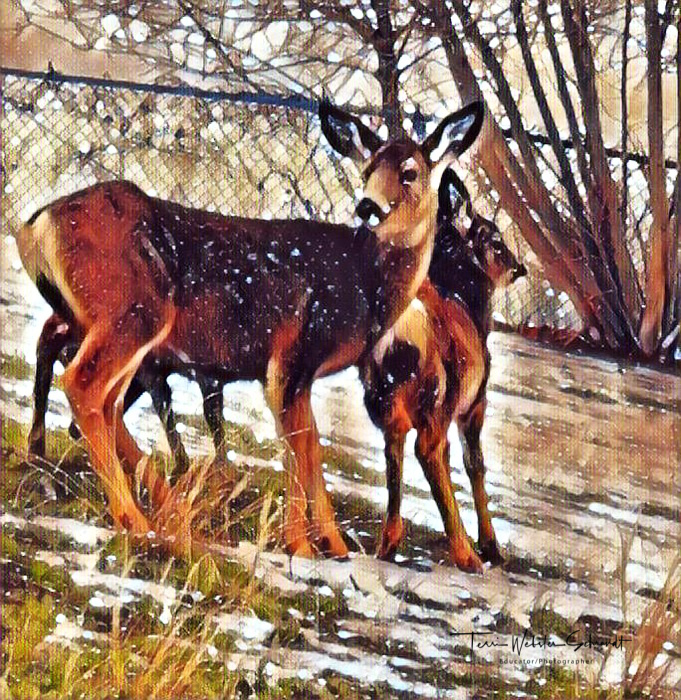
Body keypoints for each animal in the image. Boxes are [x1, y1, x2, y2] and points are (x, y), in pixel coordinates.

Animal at [15, 100, 485, 559]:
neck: (365, 282)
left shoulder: (299, 372)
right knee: (82, 384)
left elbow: (311, 445)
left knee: (104, 399)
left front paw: (333, 545)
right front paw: (301, 545)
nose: (368, 206)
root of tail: (37, 222)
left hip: (119, 327)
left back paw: (153, 506)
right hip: (133, 313)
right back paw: (135, 517)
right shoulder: (292, 356)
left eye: (410, 172)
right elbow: (298, 445)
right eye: (367, 170)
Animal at [361, 169, 526, 572]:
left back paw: (388, 543)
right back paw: (467, 553)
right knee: (427, 451)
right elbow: (474, 463)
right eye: (495, 240)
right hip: (438, 396)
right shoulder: (474, 402)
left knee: (398, 453)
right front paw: (491, 546)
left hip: (385, 399)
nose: (519, 268)